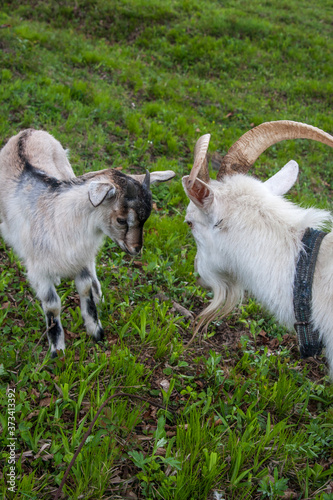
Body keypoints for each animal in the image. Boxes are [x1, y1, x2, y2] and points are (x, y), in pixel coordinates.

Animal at [0, 129, 175, 356]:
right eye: (121, 219)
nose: (136, 249)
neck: (59, 215)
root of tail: (28, 132)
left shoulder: (80, 259)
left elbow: (85, 290)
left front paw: (96, 332)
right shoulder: (38, 268)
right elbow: (52, 305)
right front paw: (57, 351)